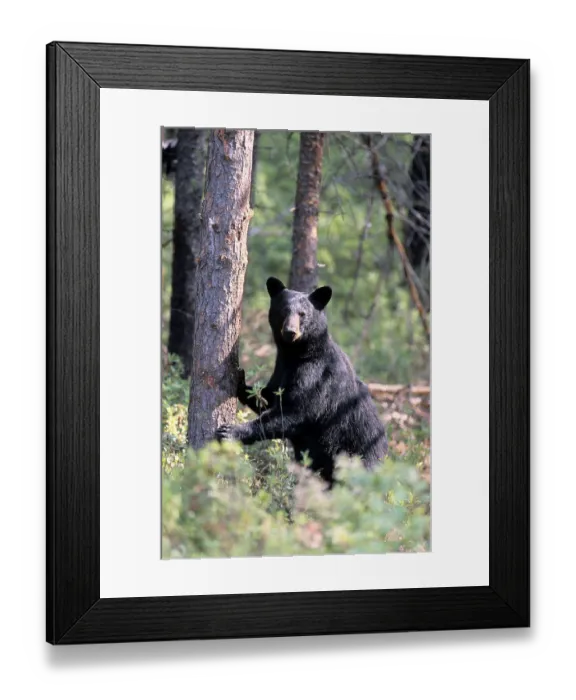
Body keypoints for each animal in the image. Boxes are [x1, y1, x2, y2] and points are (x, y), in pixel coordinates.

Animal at [216, 277, 388, 486]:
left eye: (302, 314)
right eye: (283, 310)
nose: (290, 332)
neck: (296, 354)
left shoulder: (315, 376)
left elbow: (295, 411)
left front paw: (230, 431)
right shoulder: (281, 369)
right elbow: (270, 398)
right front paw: (241, 380)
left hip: (358, 457)